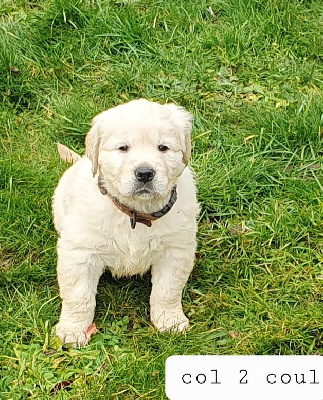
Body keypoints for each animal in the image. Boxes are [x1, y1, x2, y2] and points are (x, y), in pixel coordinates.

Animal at [52, 98, 199, 346]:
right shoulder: (80, 252)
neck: (136, 213)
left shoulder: (176, 249)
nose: (145, 173)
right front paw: (73, 330)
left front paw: (170, 321)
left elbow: (167, 290)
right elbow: (79, 296)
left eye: (163, 148)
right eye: (123, 148)